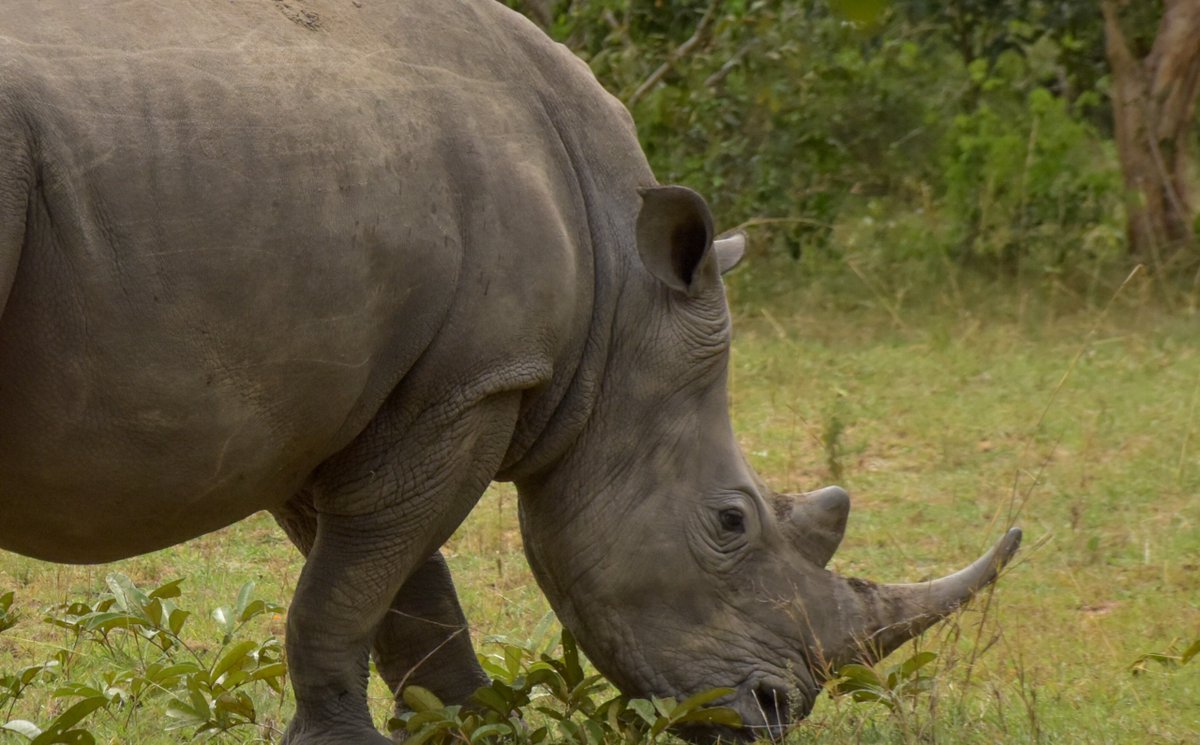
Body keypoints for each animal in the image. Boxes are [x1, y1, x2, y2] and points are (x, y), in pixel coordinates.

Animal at [0, 1, 1020, 742]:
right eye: (730, 521)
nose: (776, 712)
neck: (623, 296)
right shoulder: (477, 380)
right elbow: (358, 580)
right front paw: (354, 741)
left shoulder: (353, 399)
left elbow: (392, 581)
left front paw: (480, 720)